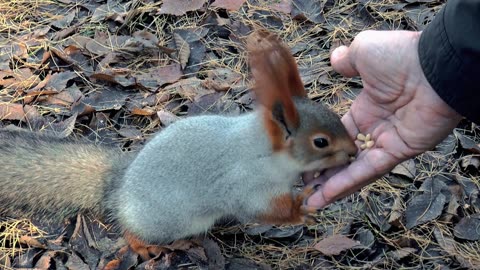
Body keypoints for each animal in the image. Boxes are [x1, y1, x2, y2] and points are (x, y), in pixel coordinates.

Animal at [0, 29, 356, 260]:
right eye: (320, 142)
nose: (354, 153)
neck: (264, 151)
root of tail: (119, 187)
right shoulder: (244, 184)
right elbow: (259, 209)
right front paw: (299, 209)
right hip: (166, 221)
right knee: (131, 230)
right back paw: (144, 245)